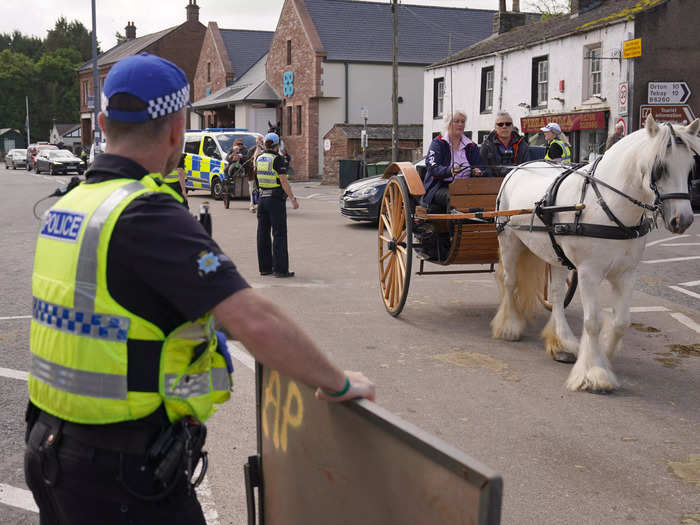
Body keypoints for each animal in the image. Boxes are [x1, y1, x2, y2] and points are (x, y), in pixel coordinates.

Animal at [492, 115, 700, 392]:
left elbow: (622, 321)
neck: (607, 205)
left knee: (556, 295)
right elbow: (592, 322)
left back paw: (562, 342)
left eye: (690, 168)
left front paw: (605, 354)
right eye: (659, 167)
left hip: (555, 253)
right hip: (510, 241)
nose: (683, 220)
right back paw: (509, 326)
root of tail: (518, 168)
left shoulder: (626, 273)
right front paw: (594, 372)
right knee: (510, 281)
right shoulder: (589, 273)